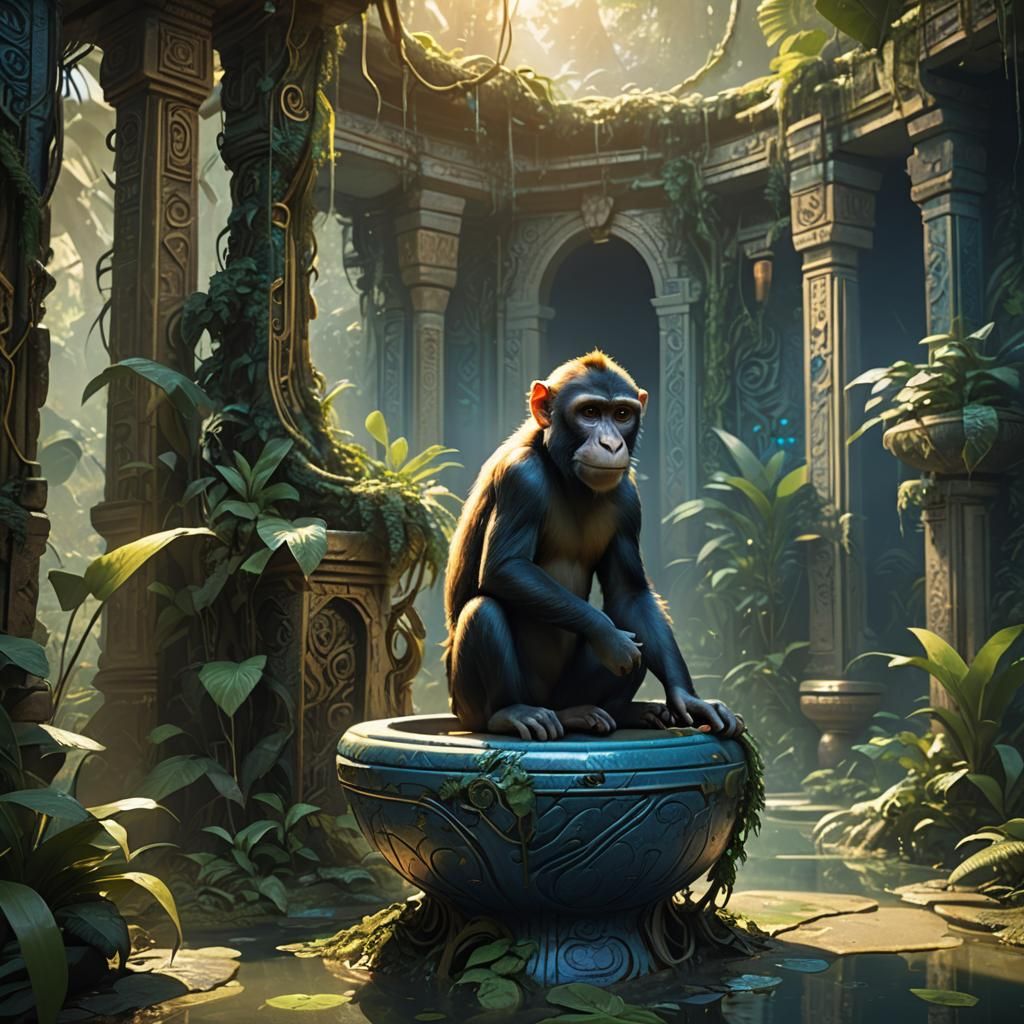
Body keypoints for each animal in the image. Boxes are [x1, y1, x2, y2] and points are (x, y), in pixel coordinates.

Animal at [443, 351, 744, 742]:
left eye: (621, 415)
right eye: (589, 412)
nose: (611, 444)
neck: (563, 473)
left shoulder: (629, 499)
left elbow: (630, 594)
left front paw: (688, 698)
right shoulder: (520, 478)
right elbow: (505, 567)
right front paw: (609, 637)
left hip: (565, 694)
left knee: (636, 639)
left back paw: (614, 712)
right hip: (469, 706)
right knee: (484, 612)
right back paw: (511, 713)